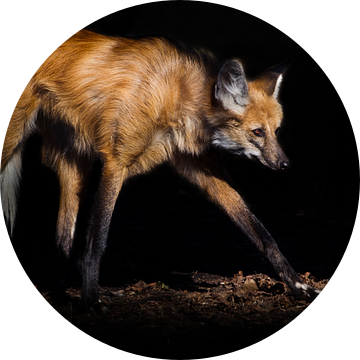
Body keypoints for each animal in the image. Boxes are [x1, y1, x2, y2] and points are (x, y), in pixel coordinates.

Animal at [0, 29, 320, 310]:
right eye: (256, 132)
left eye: (275, 131)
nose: (285, 165)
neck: (175, 94)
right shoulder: (116, 161)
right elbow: (97, 241)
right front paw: (90, 300)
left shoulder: (200, 167)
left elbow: (263, 236)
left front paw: (299, 286)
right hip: (16, 144)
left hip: (76, 160)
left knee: (62, 241)